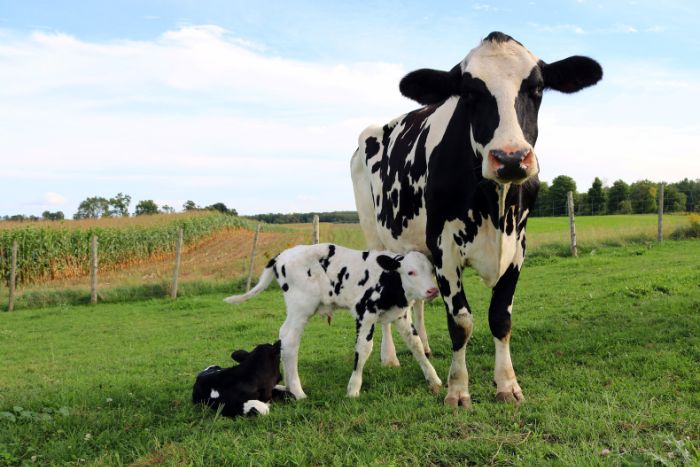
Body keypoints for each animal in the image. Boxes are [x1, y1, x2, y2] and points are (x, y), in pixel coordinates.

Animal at [224, 243, 442, 400]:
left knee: (283, 336)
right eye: (410, 272)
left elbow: (416, 345)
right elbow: (363, 349)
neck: (388, 280)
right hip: (301, 307)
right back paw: (298, 392)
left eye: (431, 270)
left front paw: (434, 380)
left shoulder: (401, 315)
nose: (432, 290)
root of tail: (282, 255)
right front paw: (353, 389)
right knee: (290, 341)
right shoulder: (365, 313)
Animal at [350, 31, 600, 408]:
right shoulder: (444, 249)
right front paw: (457, 389)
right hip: (375, 235)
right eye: (469, 92)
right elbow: (461, 322)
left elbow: (500, 317)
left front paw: (507, 384)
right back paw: (389, 357)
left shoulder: (518, 246)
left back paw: (424, 346)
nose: (510, 158)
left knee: (418, 301)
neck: (493, 204)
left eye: (537, 88)